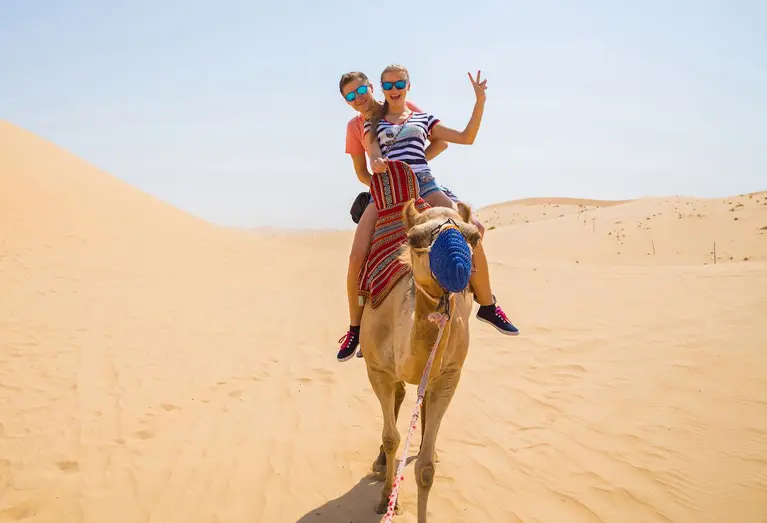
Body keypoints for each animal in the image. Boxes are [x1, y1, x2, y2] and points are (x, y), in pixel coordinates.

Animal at [360, 194, 480, 520]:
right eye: (414, 239)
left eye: (475, 237)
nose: (458, 269)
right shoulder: (377, 369)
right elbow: (391, 438)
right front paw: (386, 499)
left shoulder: (450, 374)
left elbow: (425, 469)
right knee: (399, 397)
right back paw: (379, 464)